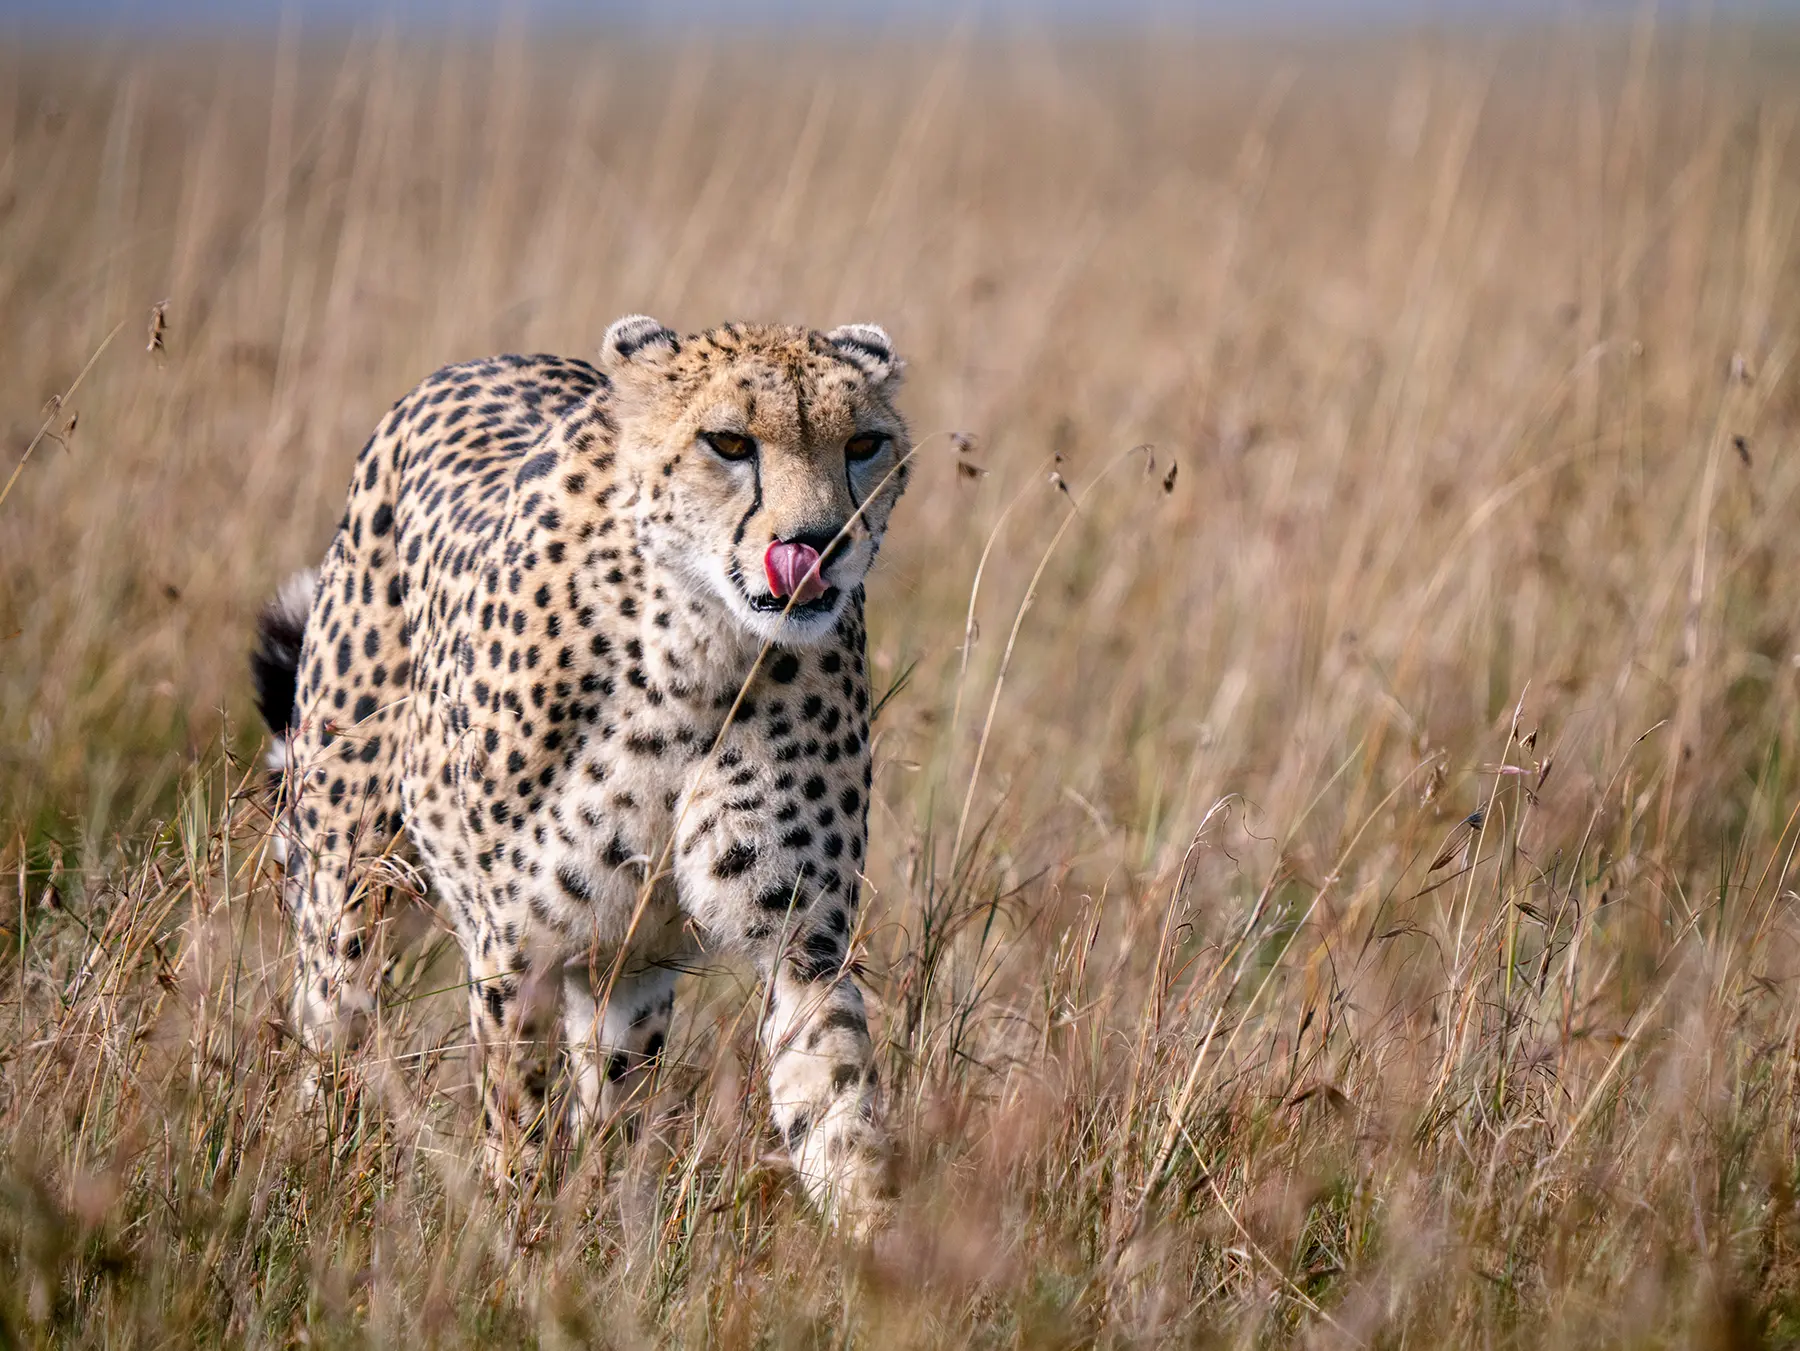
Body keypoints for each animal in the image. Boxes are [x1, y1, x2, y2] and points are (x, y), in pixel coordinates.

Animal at [249, 316, 911, 1233]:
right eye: (729, 442)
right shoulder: (513, 942)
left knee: (615, 1090)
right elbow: (517, 1111)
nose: (818, 545)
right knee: (330, 1027)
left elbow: (836, 1105)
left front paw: (880, 1247)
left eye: (863, 443)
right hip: (348, 881)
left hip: (627, 960)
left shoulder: (802, 937)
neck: (697, 652)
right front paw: (515, 1235)